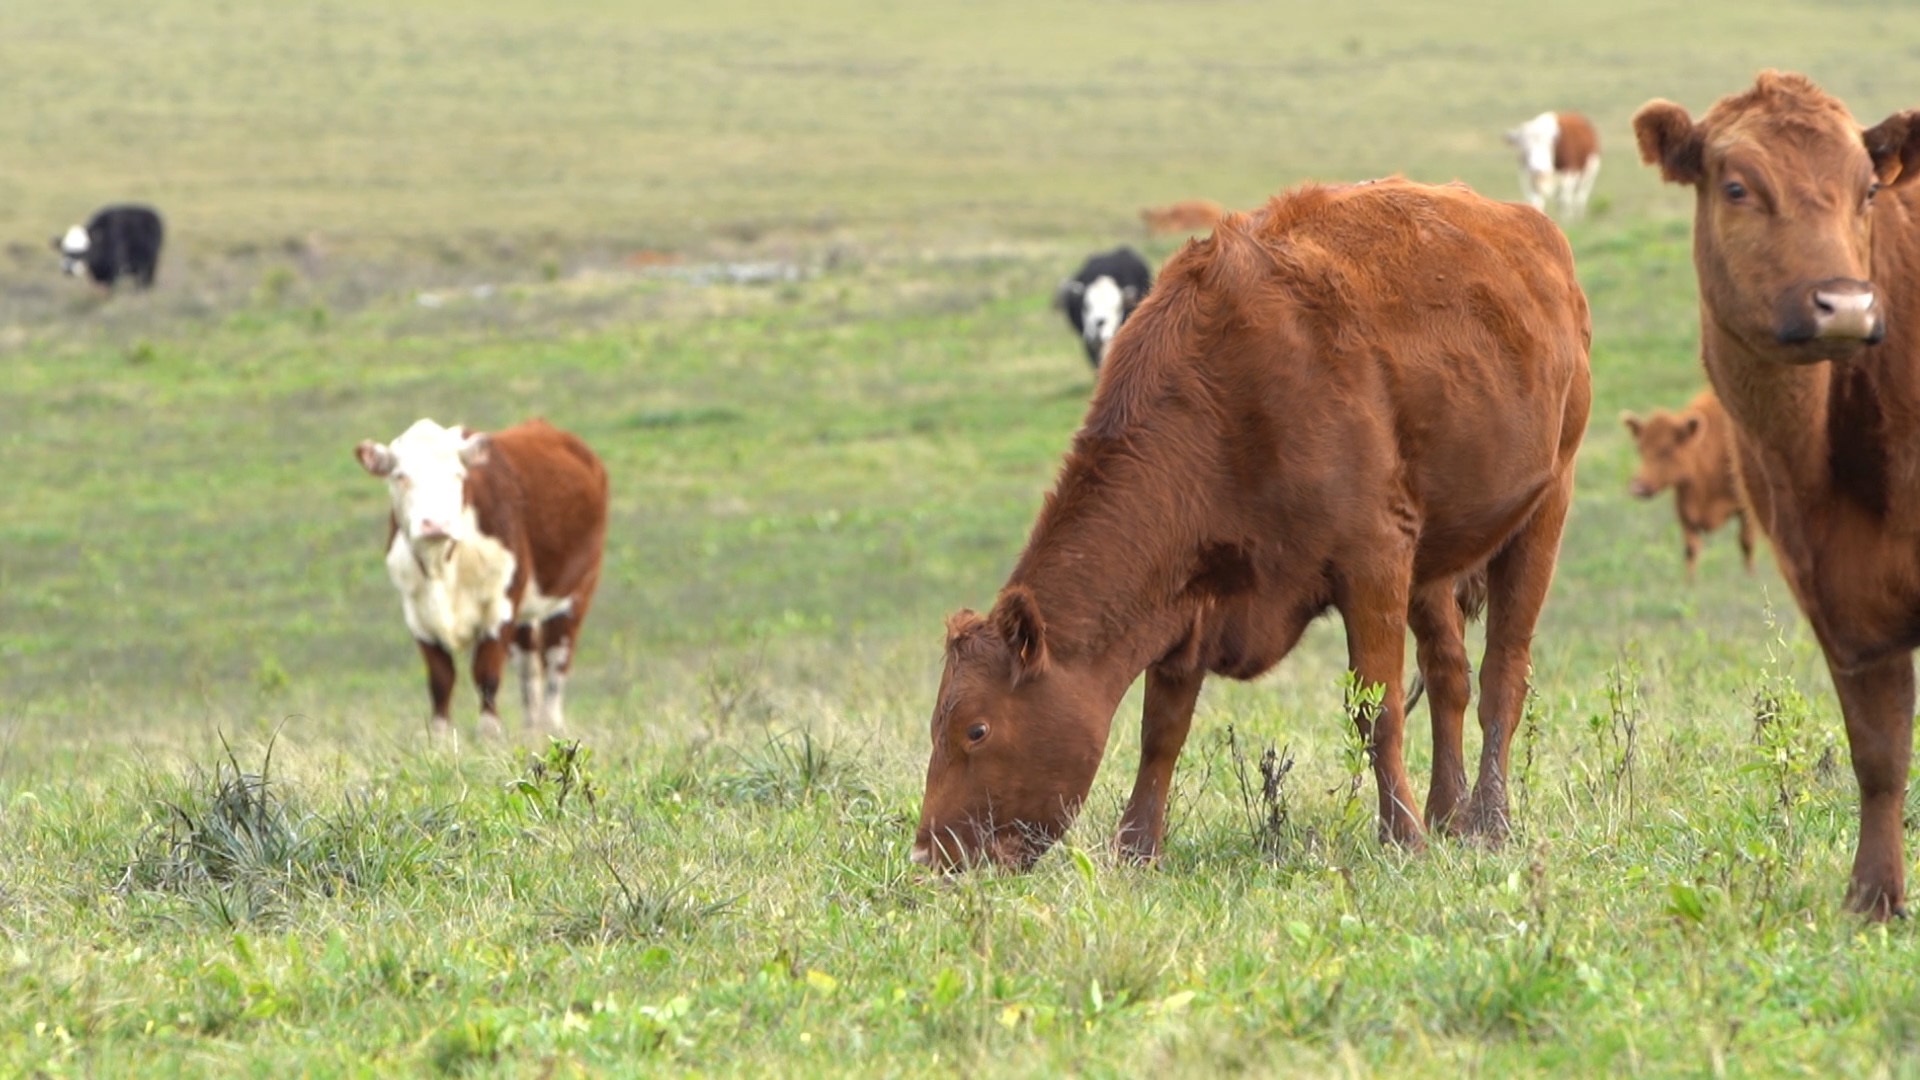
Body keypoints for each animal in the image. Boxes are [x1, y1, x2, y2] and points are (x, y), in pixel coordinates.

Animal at [355, 418, 609, 742]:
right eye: (400, 476)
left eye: (457, 474)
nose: (435, 523)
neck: (442, 565)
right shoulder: (416, 612)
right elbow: (441, 678)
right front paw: (439, 737)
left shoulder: (501, 605)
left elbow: (486, 672)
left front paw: (489, 734)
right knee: (528, 667)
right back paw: (531, 729)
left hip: (575, 591)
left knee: (556, 659)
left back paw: (552, 725)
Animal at [912, 178, 1592, 872]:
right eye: (937, 724)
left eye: (976, 729)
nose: (928, 855)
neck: (1232, 398)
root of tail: (1532, 232)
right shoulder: (1190, 600)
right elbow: (1162, 728)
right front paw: (1137, 850)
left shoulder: (1373, 564)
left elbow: (1376, 713)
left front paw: (1401, 836)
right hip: (1433, 566)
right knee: (1449, 676)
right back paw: (1449, 814)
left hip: (1544, 511)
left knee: (1501, 676)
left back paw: (1489, 820)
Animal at [1621, 388, 1754, 579]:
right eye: (1639, 449)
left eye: (1667, 449)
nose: (1637, 488)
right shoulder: (1685, 510)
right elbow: (1691, 550)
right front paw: (1690, 583)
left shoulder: (1746, 511)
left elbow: (1746, 543)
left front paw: (1750, 578)